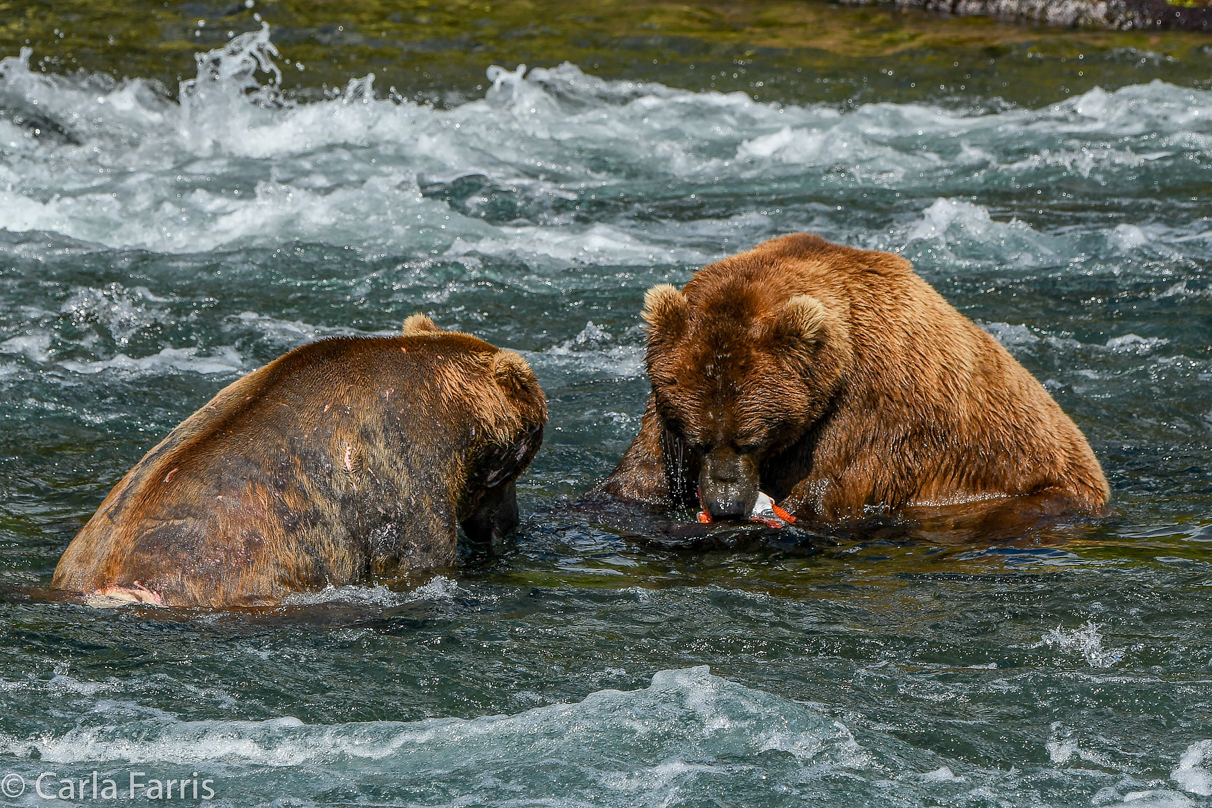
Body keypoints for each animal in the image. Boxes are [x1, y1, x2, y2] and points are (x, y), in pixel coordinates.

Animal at [593, 232, 1110, 537]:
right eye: (697, 439)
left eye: (751, 439)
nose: (725, 505)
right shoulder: (661, 418)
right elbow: (638, 481)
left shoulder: (879, 406)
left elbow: (838, 483)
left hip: (1030, 489)